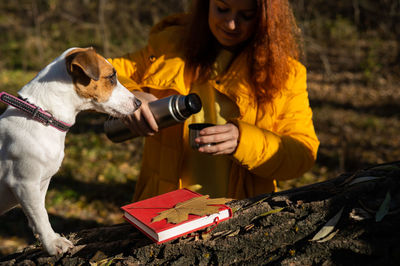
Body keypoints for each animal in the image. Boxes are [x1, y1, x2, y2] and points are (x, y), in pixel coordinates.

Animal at [0, 47, 141, 256]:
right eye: (111, 77)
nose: (139, 103)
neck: (43, 116)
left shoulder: (41, 184)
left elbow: (39, 212)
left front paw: (49, 238)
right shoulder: (24, 183)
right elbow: (40, 215)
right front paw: (52, 243)